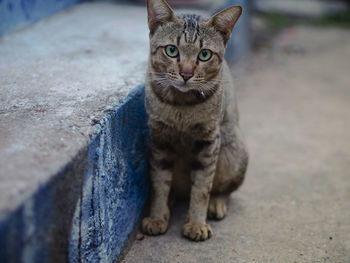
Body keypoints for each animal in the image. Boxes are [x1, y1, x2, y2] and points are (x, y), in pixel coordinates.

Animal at [141, 0, 247, 242]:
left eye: (205, 54)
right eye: (171, 50)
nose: (186, 73)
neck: (181, 106)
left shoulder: (209, 142)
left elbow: (201, 187)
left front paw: (197, 222)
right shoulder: (159, 140)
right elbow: (159, 183)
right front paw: (157, 216)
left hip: (233, 153)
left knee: (224, 189)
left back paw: (215, 204)